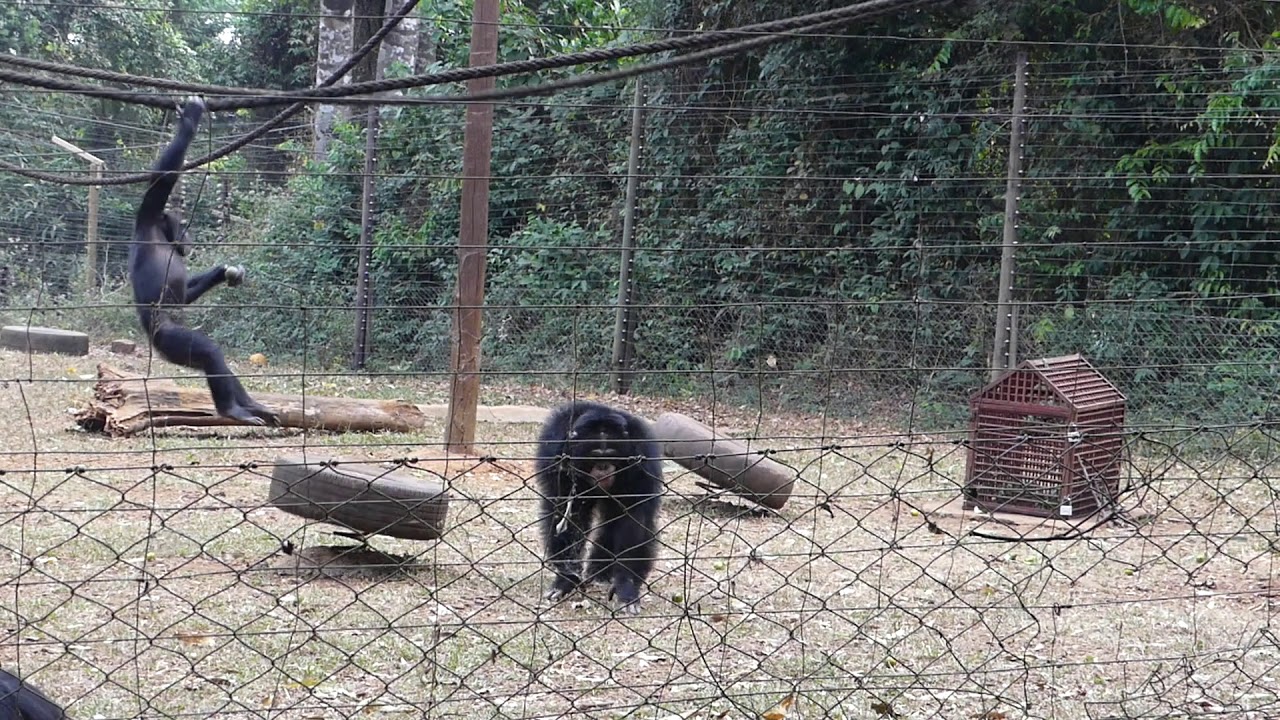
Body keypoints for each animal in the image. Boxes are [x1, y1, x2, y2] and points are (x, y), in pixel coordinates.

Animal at [130, 99, 277, 425]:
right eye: (183, 225)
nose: (188, 236)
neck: (160, 232)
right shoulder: (148, 213)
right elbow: (163, 180)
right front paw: (189, 121)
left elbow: (185, 294)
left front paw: (225, 272)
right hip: (171, 340)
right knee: (209, 351)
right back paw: (231, 410)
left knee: (218, 361)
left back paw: (252, 405)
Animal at [535, 397, 665, 609]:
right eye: (596, 455)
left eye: (610, 454)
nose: (603, 466)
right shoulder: (556, 456)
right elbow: (569, 515)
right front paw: (566, 579)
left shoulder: (642, 459)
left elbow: (633, 520)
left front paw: (626, 585)